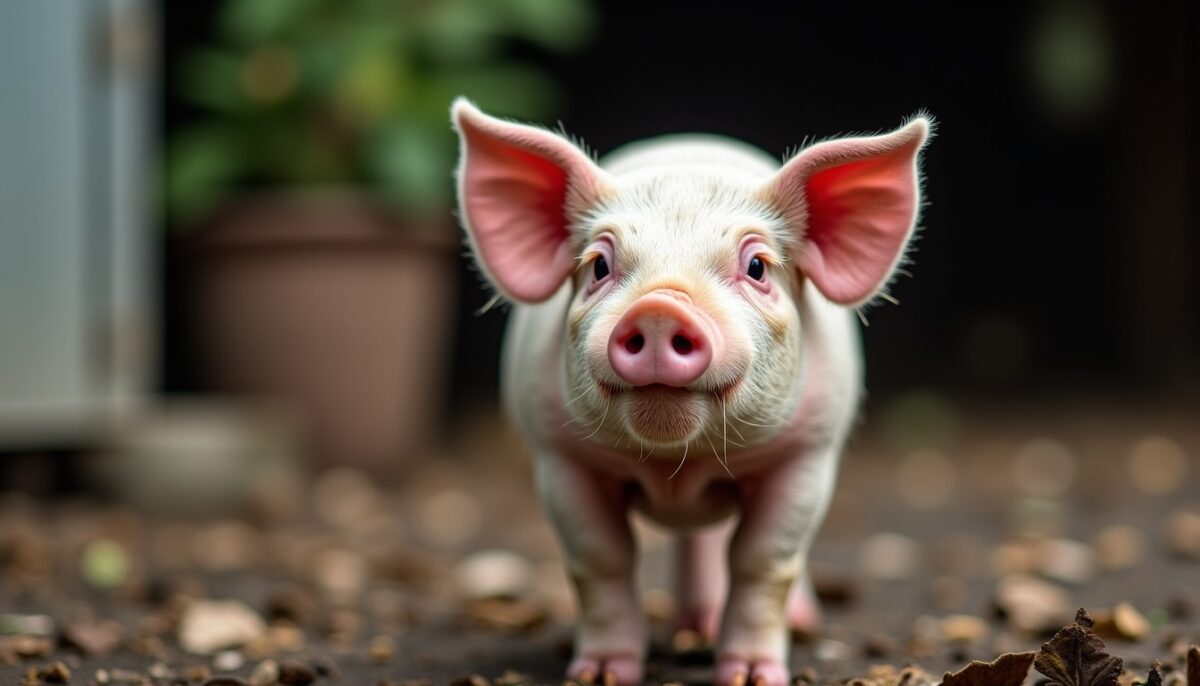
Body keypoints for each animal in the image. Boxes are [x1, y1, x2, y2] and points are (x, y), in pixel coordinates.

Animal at [451, 98, 932, 686]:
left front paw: (751, 677)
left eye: (757, 267)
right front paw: (602, 675)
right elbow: (600, 557)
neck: (676, 464)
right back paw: (692, 625)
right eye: (599, 265)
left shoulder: (807, 454)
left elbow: (763, 560)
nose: (659, 307)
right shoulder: (560, 456)